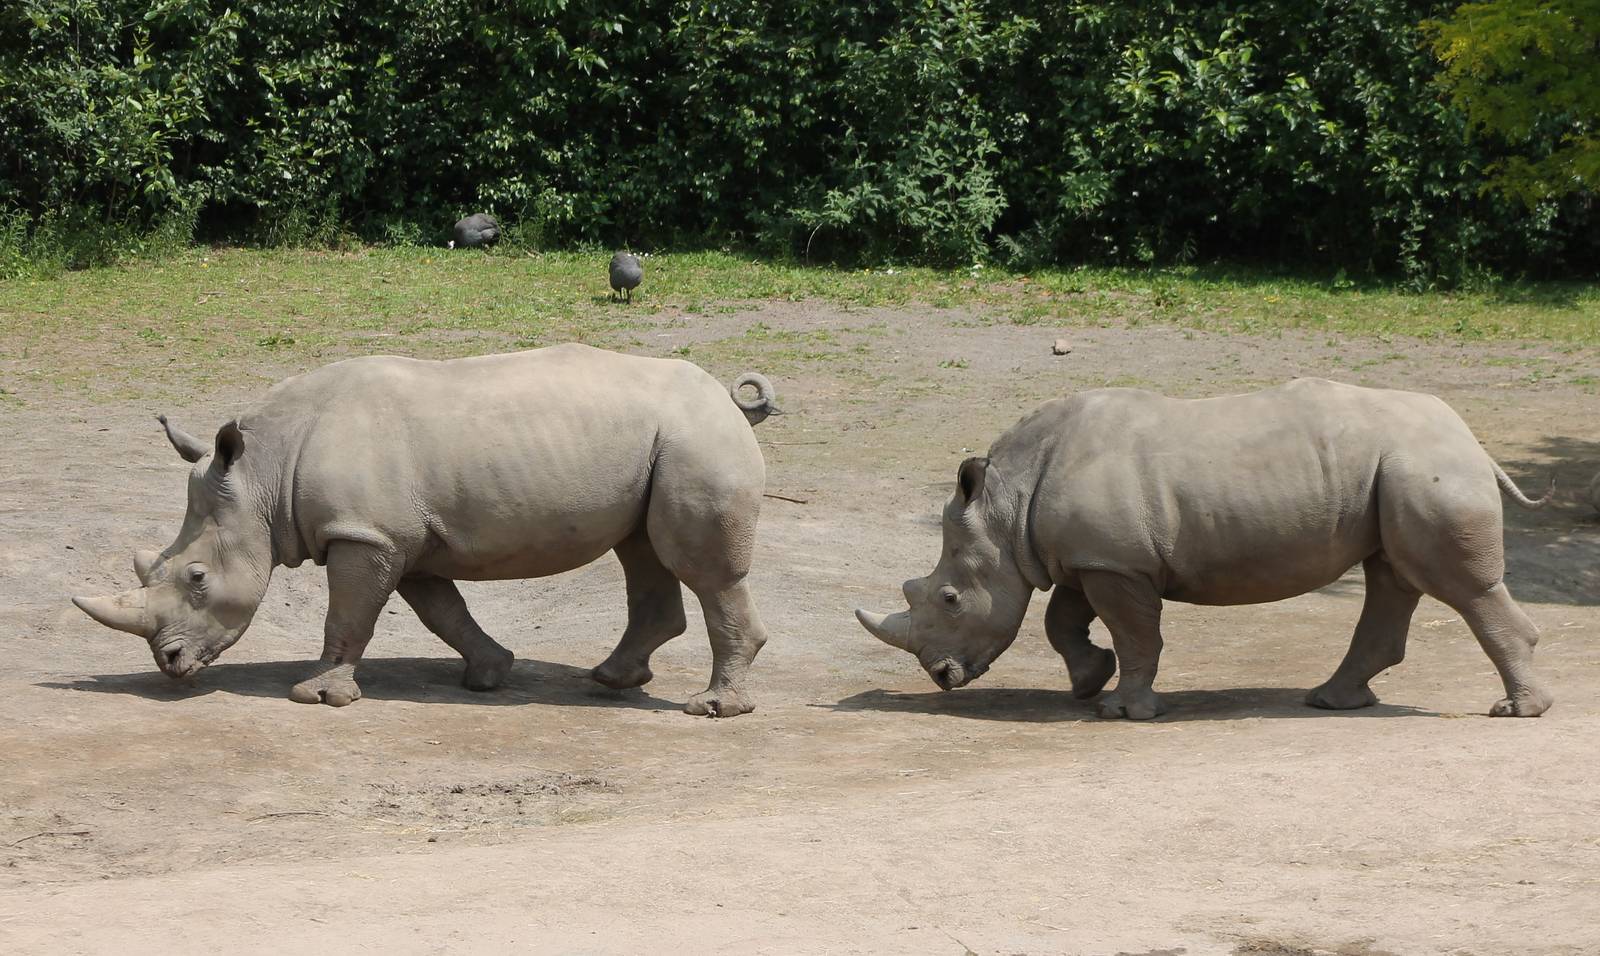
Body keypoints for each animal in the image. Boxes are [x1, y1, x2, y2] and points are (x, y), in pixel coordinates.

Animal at [73, 344, 780, 716]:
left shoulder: (364, 534)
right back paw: (610, 680)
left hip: (696, 440)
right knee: (642, 552)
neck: (263, 474)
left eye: (197, 578)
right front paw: (490, 673)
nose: (169, 665)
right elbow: (442, 610)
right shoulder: (401, 539)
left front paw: (317, 695)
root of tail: (728, 398)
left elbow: (347, 615)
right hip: (663, 445)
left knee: (700, 569)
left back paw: (711, 709)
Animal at [856, 379, 1555, 719]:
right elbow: (1063, 621)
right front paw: (1088, 681)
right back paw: (1331, 701)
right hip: (1397, 469)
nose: (941, 677)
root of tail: (1469, 436)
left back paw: (1517, 711)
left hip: (1422, 467)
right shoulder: (1091, 556)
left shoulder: (1116, 563)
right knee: (1392, 575)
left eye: (950, 598)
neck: (1005, 503)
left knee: (1455, 586)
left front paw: (1124, 710)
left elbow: (1136, 633)